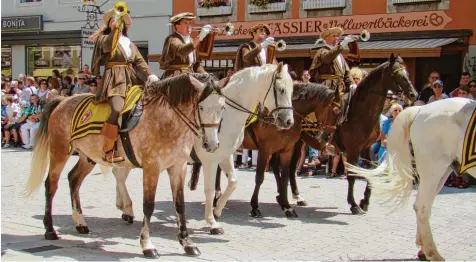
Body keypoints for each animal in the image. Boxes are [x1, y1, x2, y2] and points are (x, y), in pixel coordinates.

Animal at [23, 73, 228, 258]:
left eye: (222, 107)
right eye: (201, 106)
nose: (212, 144)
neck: (167, 120)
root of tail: (63, 100)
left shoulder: (178, 167)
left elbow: (179, 204)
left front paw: (187, 243)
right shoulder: (152, 168)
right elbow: (148, 206)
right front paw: (147, 245)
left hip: (87, 156)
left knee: (73, 179)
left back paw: (80, 222)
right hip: (59, 152)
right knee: (51, 185)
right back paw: (50, 230)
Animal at [238, 83, 338, 218]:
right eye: (335, 111)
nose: (328, 138)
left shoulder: (287, 148)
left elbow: (285, 175)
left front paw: (286, 205)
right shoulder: (265, 149)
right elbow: (260, 177)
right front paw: (255, 206)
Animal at [284, 53, 414, 215]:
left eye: (407, 72)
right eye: (396, 74)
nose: (413, 94)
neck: (360, 112)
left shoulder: (366, 148)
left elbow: (368, 171)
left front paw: (365, 201)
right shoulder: (353, 149)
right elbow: (352, 175)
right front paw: (354, 204)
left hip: (299, 142)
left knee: (291, 168)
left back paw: (298, 197)